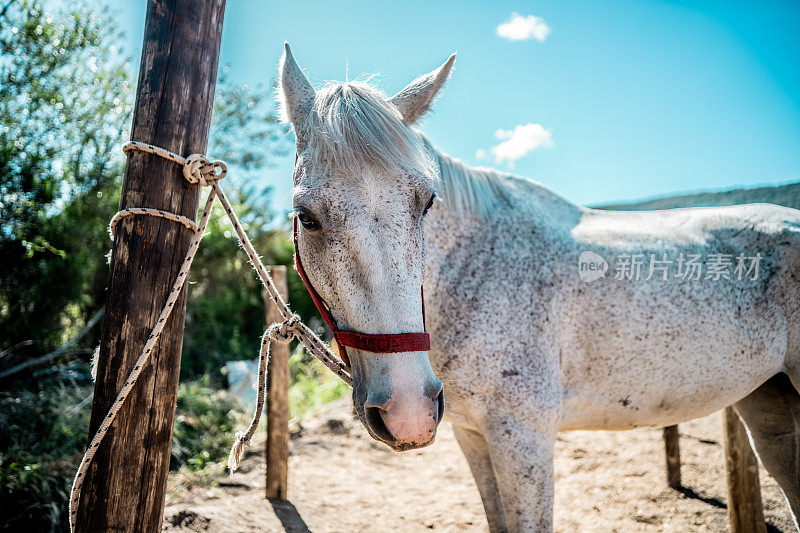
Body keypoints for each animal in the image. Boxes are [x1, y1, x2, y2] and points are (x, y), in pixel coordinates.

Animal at [276, 43, 800, 528]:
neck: (476, 269)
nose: (408, 411)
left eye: (426, 203)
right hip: (767, 403)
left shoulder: (523, 440)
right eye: (306, 215)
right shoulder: (474, 437)